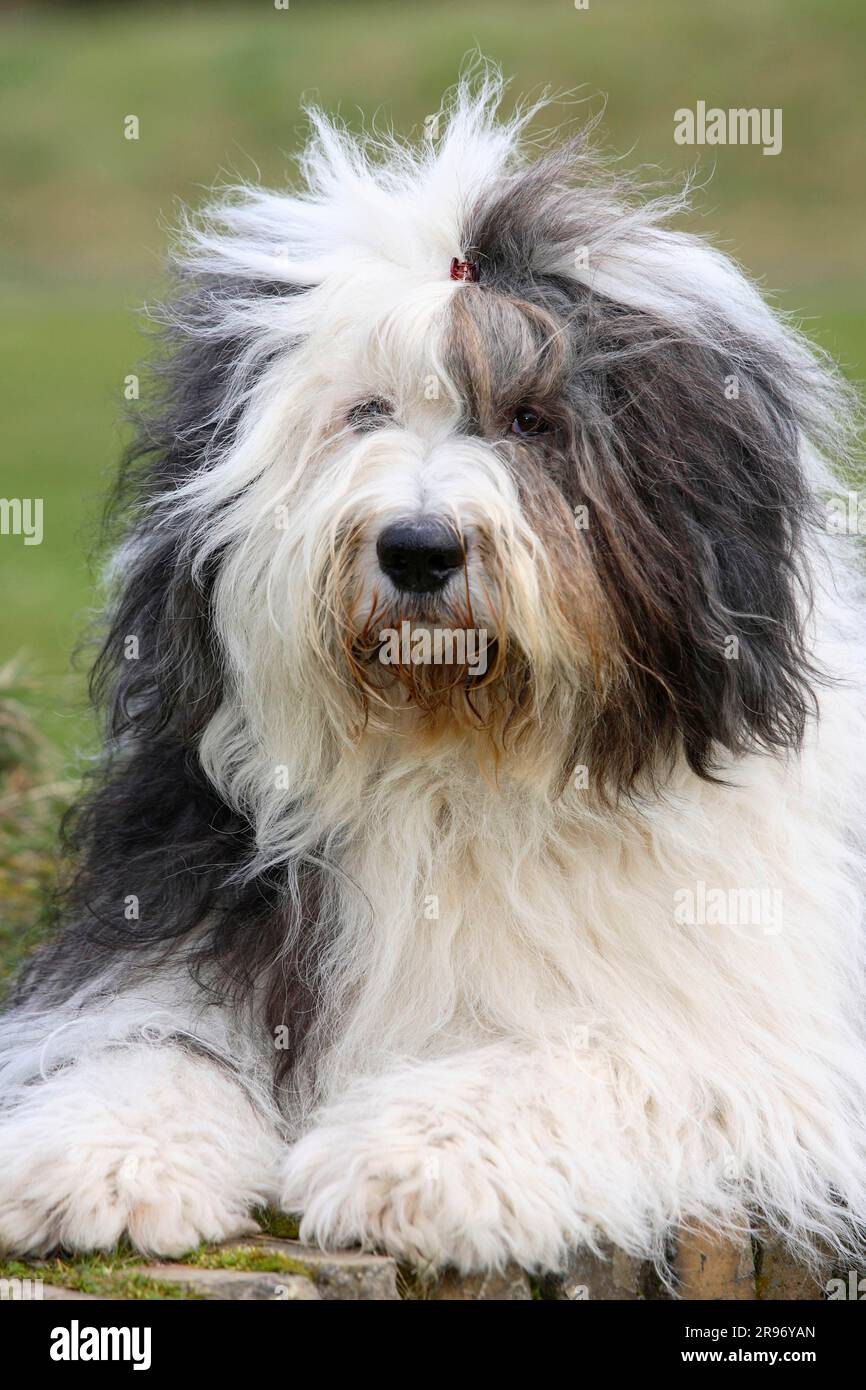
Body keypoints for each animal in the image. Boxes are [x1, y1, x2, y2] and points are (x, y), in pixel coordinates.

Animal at [1, 70, 866, 1273]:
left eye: (533, 421)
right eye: (364, 412)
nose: (416, 547)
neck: (447, 766)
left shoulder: (758, 1029)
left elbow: (597, 1048)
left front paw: (407, 1161)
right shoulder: (185, 918)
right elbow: (150, 1033)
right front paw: (106, 1158)